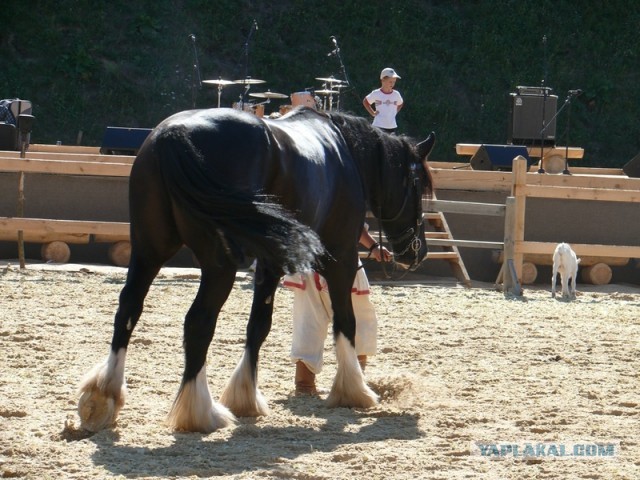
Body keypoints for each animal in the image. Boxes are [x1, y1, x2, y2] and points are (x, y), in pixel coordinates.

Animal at [76, 107, 436, 434]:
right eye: (419, 186)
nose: (417, 251)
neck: (343, 151)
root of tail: (172, 135)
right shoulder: (341, 259)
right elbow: (345, 322)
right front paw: (354, 391)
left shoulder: (269, 263)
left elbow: (258, 325)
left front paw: (245, 398)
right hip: (217, 266)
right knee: (198, 322)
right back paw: (200, 412)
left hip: (148, 251)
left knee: (128, 309)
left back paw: (104, 396)